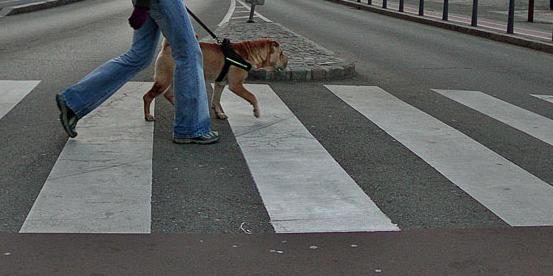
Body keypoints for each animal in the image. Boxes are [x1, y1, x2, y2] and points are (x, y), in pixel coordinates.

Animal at [142, 37, 288, 121]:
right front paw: (256, 111)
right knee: (147, 97)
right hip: (163, 80)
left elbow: (216, 99)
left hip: (173, 78)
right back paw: (148, 116)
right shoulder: (236, 85)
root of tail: (167, 46)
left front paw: (219, 113)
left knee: (168, 94)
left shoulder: (220, 84)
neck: (248, 53)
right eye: (281, 54)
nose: (287, 61)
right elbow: (252, 96)